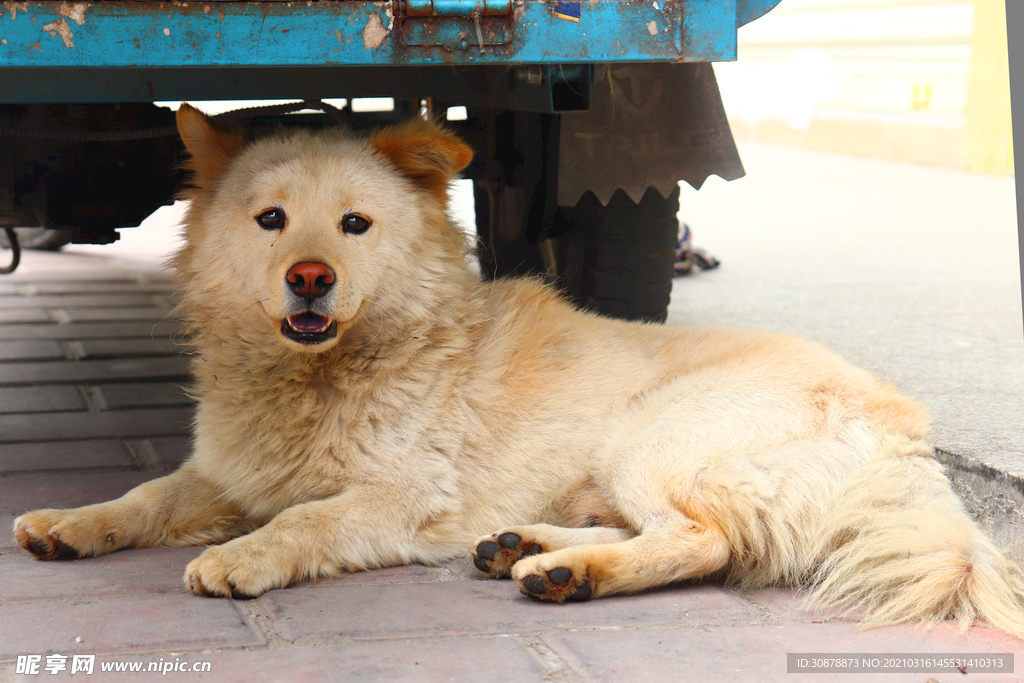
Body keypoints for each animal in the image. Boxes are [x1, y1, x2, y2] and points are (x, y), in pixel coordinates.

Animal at [14, 104, 1024, 638]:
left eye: (353, 225)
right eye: (270, 220)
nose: (310, 279)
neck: (325, 374)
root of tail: (905, 427)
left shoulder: (397, 497)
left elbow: (304, 518)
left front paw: (243, 555)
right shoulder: (224, 471)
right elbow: (143, 496)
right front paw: (69, 523)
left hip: (655, 438)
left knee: (703, 540)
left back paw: (566, 572)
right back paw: (527, 546)